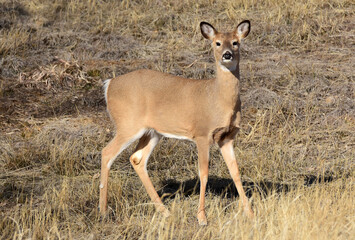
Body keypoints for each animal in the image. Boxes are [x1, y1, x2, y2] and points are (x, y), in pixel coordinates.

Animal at [98, 20, 254, 225]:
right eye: (217, 43)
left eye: (236, 42)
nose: (227, 54)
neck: (218, 98)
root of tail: (109, 85)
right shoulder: (202, 134)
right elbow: (203, 173)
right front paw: (202, 217)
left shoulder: (227, 137)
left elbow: (235, 171)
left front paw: (250, 212)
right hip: (127, 124)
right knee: (107, 152)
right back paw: (103, 211)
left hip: (152, 132)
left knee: (137, 158)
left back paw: (164, 211)